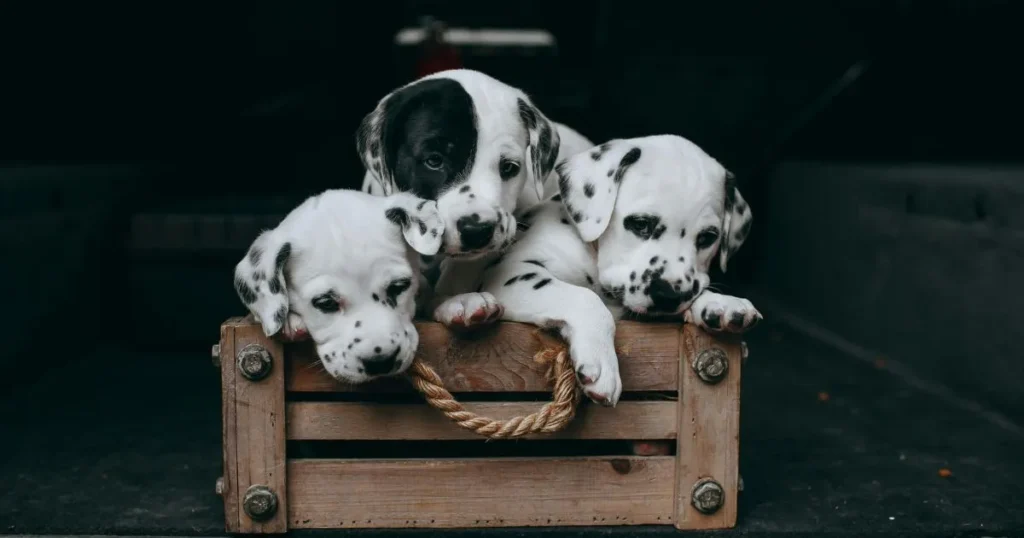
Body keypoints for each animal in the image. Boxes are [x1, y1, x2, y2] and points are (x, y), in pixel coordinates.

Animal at [477, 135, 761, 407]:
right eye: (641, 224)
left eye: (707, 238)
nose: (669, 296)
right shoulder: (510, 273)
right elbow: (585, 297)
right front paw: (601, 362)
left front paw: (720, 304)